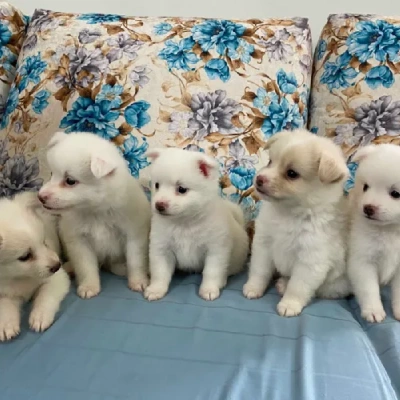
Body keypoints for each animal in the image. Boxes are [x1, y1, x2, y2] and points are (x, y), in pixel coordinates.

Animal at [0, 191, 70, 340]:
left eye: (44, 242)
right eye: (25, 256)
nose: (57, 265)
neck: (19, 277)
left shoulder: (56, 279)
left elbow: (45, 296)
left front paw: (40, 316)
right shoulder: (4, 291)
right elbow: (5, 304)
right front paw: (6, 324)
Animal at [38, 133, 151, 298]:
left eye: (70, 181)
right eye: (52, 174)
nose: (40, 197)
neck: (96, 210)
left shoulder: (133, 235)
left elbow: (135, 261)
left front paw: (138, 281)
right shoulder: (79, 241)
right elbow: (86, 266)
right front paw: (89, 286)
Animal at [144, 148, 250, 302]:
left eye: (182, 189)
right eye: (157, 185)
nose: (159, 205)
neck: (184, 223)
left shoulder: (215, 250)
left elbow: (211, 272)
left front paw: (209, 289)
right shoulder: (162, 248)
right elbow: (160, 272)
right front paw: (156, 289)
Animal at [241, 130, 350, 318]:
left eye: (292, 173)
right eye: (270, 162)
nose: (259, 179)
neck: (289, 214)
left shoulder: (310, 260)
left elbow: (298, 286)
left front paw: (289, 304)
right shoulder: (264, 244)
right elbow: (259, 270)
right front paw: (253, 288)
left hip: (336, 284)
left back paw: (284, 285)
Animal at [348, 144, 400, 322]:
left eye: (395, 194)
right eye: (365, 187)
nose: (368, 208)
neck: (390, 231)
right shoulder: (363, 260)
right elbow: (369, 289)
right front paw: (373, 310)